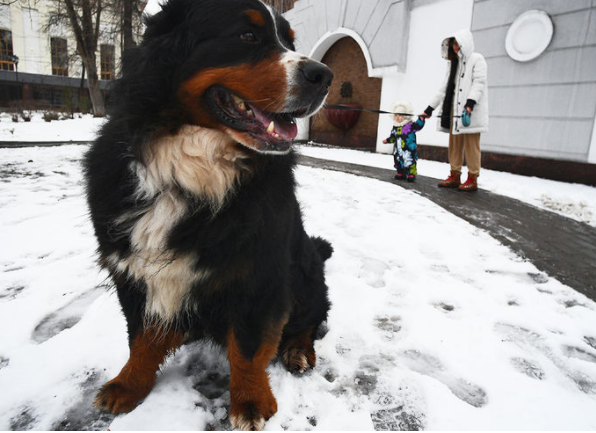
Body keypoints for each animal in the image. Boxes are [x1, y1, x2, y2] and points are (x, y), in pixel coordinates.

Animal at [83, 0, 332, 428]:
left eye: (290, 42)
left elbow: (247, 348)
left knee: (311, 320)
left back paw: (298, 350)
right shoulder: (131, 268)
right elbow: (141, 338)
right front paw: (129, 384)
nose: (324, 75)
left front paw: (250, 400)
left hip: (307, 272)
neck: (189, 170)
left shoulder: (258, 274)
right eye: (247, 35)